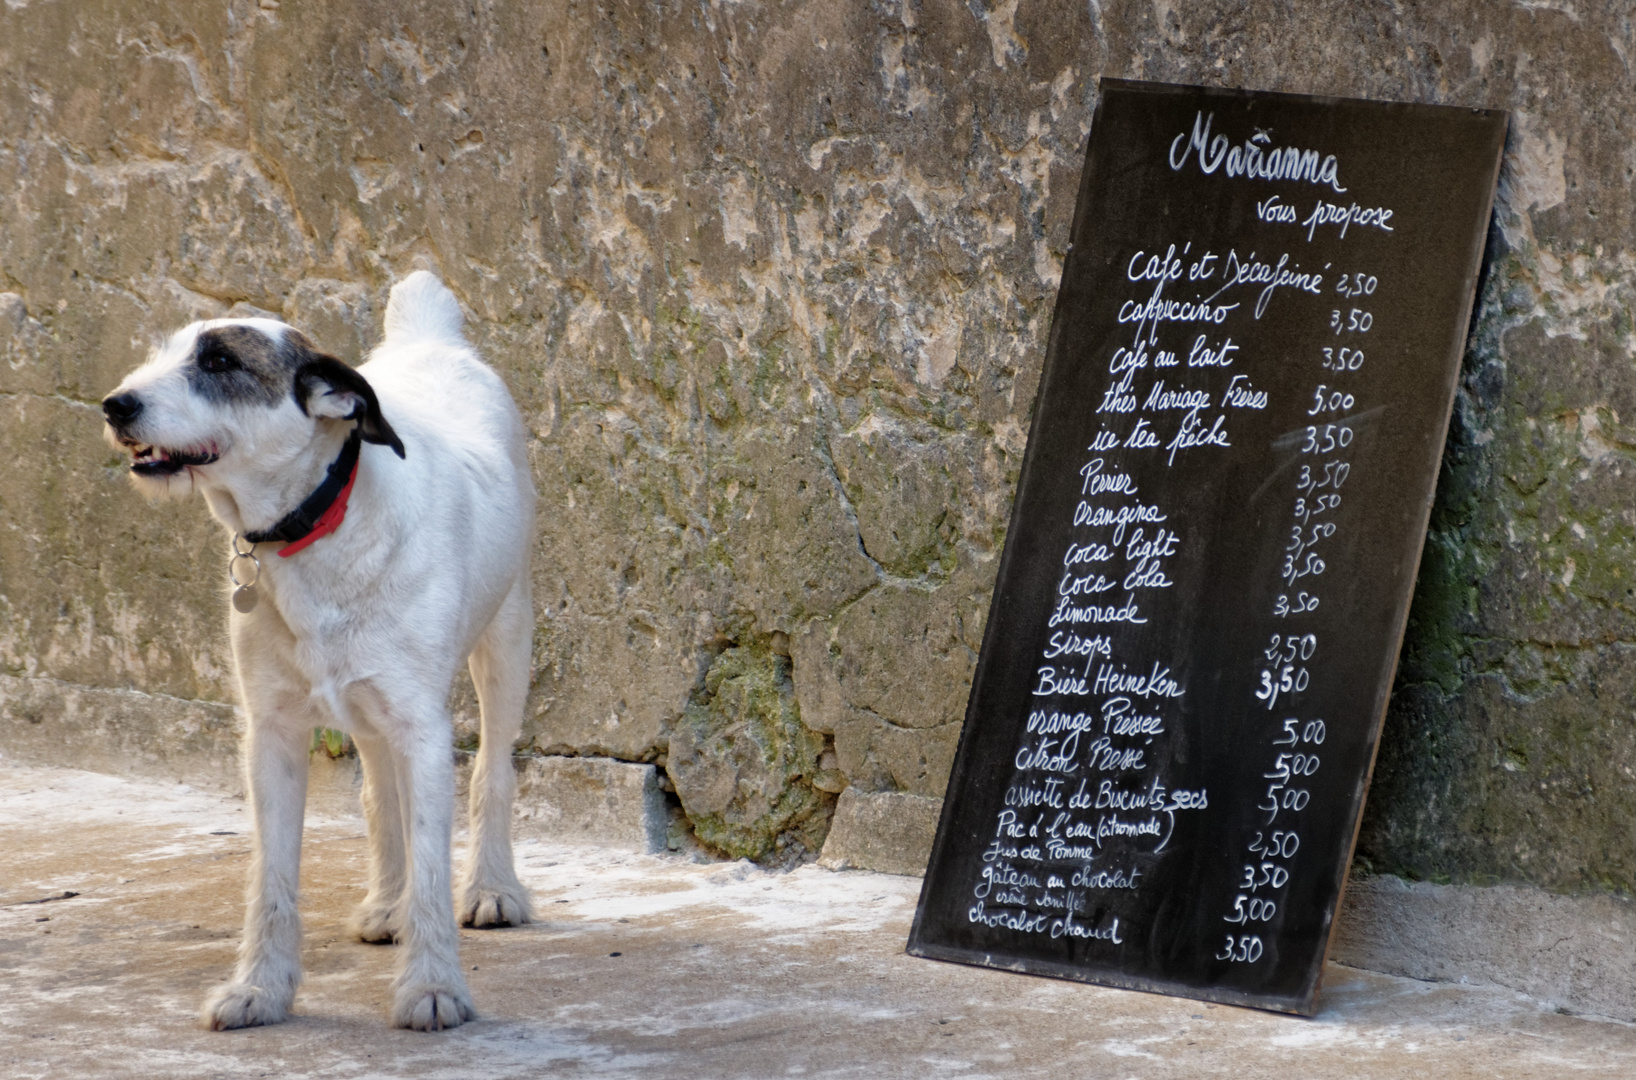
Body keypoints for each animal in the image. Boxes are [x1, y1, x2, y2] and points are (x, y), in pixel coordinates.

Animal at [102, 270, 536, 1027]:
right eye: (163, 353)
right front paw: (260, 988)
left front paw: (432, 987)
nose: (115, 404)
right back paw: (387, 903)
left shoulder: (424, 728)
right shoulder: (272, 734)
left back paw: (491, 887)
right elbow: (271, 879)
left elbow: (433, 864)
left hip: (506, 642)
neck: (319, 524)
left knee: (494, 769)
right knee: (381, 795)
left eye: (220, 361)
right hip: (365, 707)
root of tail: (431, 339)